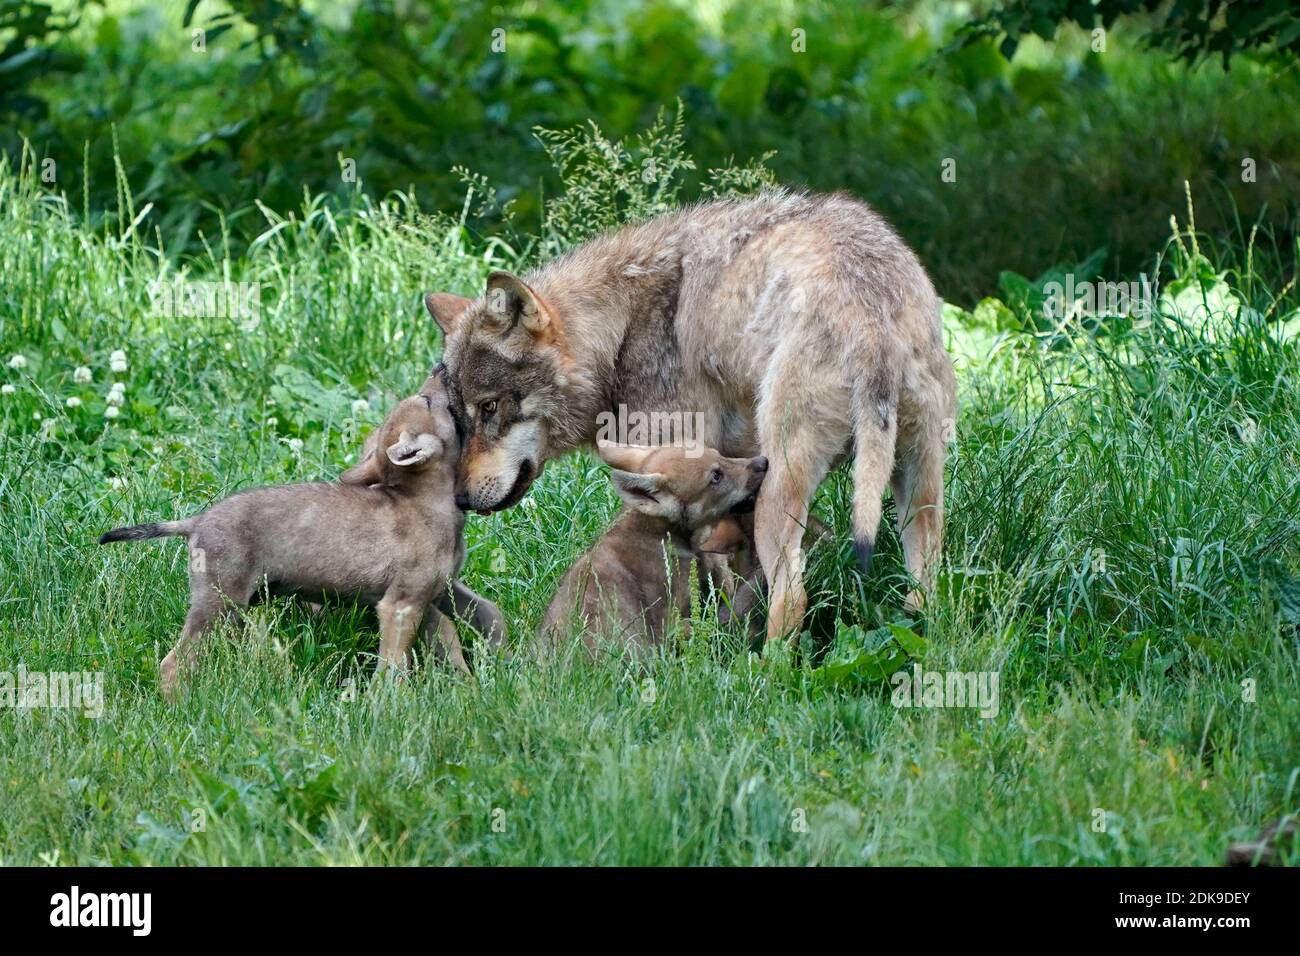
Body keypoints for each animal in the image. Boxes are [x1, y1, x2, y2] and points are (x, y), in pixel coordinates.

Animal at [426, 191, 956, 647]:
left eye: (489, 407)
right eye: (460, 416)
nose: (460, 498)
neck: (619, 331)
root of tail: (871, 316)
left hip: (782, 488)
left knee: (794, 596)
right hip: (916, 491)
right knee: (925, 589)